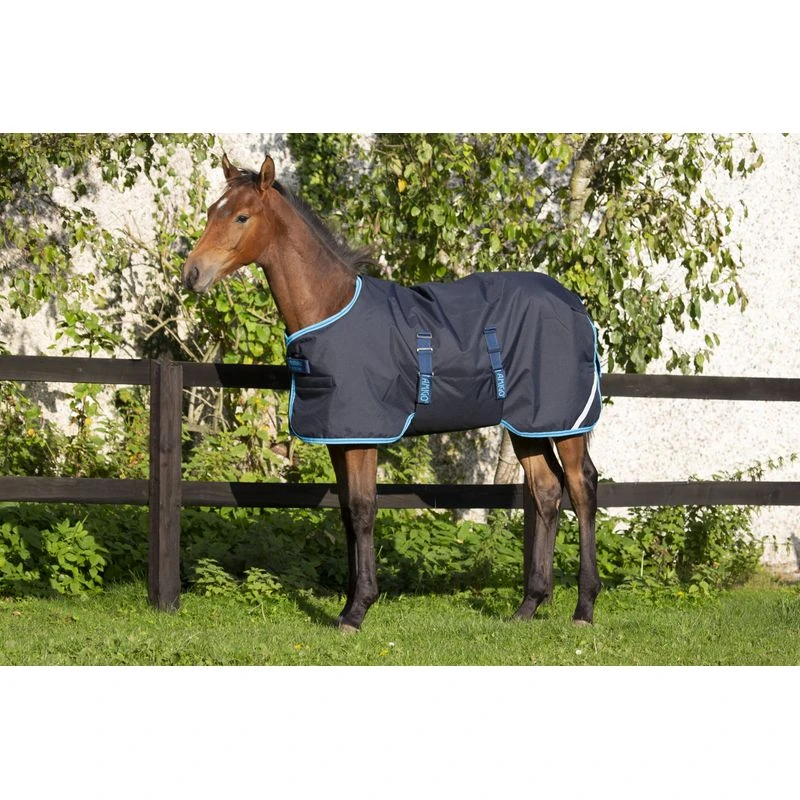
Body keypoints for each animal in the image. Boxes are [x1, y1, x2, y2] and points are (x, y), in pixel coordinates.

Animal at [182, 153, 602, 632]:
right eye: (212, 210)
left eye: (241, 216)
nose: (192, 274)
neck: (331, 308)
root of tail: (575, 304)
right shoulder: (340, 438)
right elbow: (346, 513)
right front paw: (348, 605)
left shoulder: (365, 437)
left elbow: (364, 510)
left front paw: (358, 610)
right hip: (527, 425)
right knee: (547, 492)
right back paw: (529, 605)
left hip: (565, 422)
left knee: (582, 488)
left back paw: (584, 607)